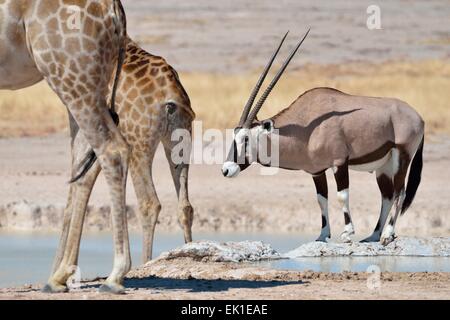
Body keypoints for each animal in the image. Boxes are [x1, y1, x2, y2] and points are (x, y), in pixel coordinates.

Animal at [0, 0, 131, 296]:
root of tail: (114, 10)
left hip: (71, 75)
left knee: (112, 150)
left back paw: (115, 276)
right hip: (85, 80)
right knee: (84, 160)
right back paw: (58, 276)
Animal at [51, 37, 195, 280]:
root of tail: (172, 94)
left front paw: (57, 270)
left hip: (139, 143)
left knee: (149, 202)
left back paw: (144, 266)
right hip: (180, 140)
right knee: (185, 206)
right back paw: (189, 250)